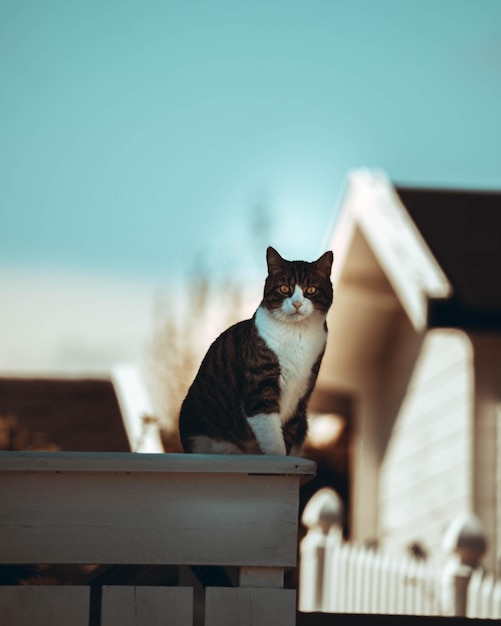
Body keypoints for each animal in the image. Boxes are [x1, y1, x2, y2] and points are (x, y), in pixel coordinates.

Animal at [179, 246, 332, 456]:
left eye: (311, 290)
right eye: (284, 288)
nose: (297, 304)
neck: (297, 334)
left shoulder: (302, 393)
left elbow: (289, 433)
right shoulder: (260, 387)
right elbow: (271, 435)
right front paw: (277, 457)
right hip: (200, 435)